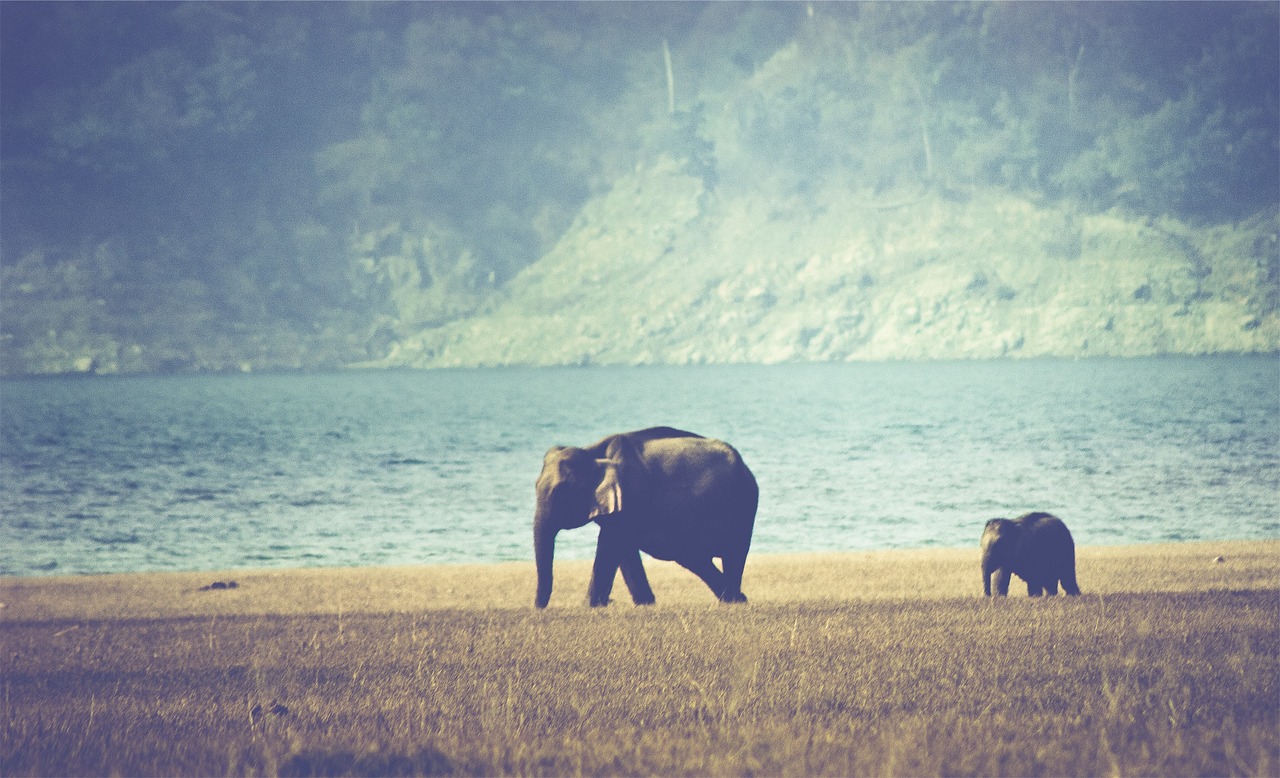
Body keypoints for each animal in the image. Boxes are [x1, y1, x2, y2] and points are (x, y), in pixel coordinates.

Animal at [533, 426, 758, 608]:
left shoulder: (631, 495)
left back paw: (733, 600)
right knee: (693, 558)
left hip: (742, 505)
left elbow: (611, 545)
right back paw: (736, 598)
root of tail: (746, 467)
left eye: (561, 492)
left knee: (732, 553)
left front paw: (590, 605)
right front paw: (644, 603)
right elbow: (624, 548)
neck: (592, 452)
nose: (539, 607)